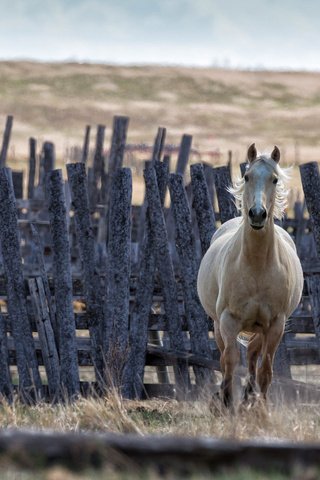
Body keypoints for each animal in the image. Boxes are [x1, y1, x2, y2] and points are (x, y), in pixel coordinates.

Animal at [196, 143, 304, 408]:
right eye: (247, 176)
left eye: (274, 179)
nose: (257, 214)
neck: (256, 266)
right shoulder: (228, 320)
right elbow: (230, 360)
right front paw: (225, 402)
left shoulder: (275, 324)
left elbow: (265, 368)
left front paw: (260, 406)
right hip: (218, 324)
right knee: (226, 356)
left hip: (260, 328)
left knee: (254, 354)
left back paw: (249, 397)